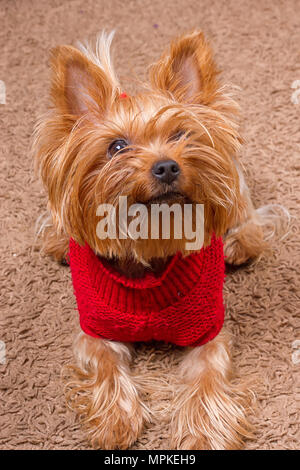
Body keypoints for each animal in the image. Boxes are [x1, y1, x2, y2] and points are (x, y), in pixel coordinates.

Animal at [31, 31, 274, 450]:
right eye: (116, 146)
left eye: (181, 135)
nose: (167, 166)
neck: (149, 243)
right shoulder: (95, 331)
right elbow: (105, 366)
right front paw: (114, 420)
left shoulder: (209, 330)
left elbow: (207, 376)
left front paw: (203, 433)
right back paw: (60, 241)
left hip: (234, 184)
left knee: (242, 210)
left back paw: (239, 243)